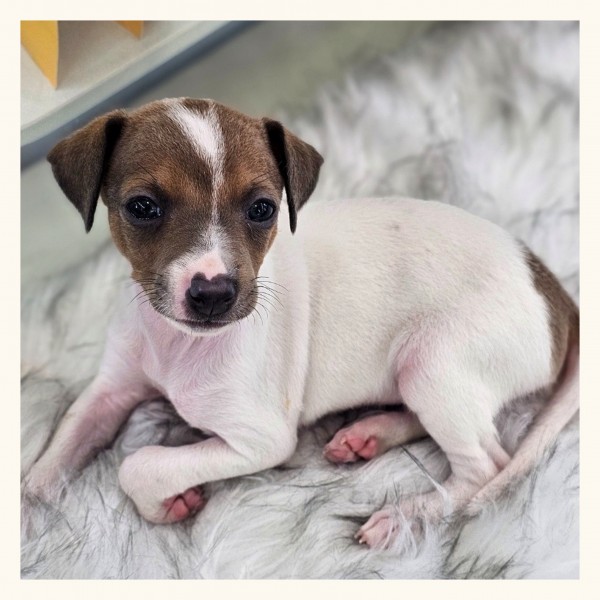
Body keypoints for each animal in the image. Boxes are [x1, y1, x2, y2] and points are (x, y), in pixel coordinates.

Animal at [24, 98, 579, 548]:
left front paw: (167, 501)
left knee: (484, 466)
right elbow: (57, 451)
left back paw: (406, 516)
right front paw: (31, 510)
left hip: (433, 362)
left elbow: (137, 465)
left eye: (262, 209)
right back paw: (369, 434)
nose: (213, 293)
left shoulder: (261, 439)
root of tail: (554, 290)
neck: (177, 344)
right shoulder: (112, 389)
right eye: (142, 207)